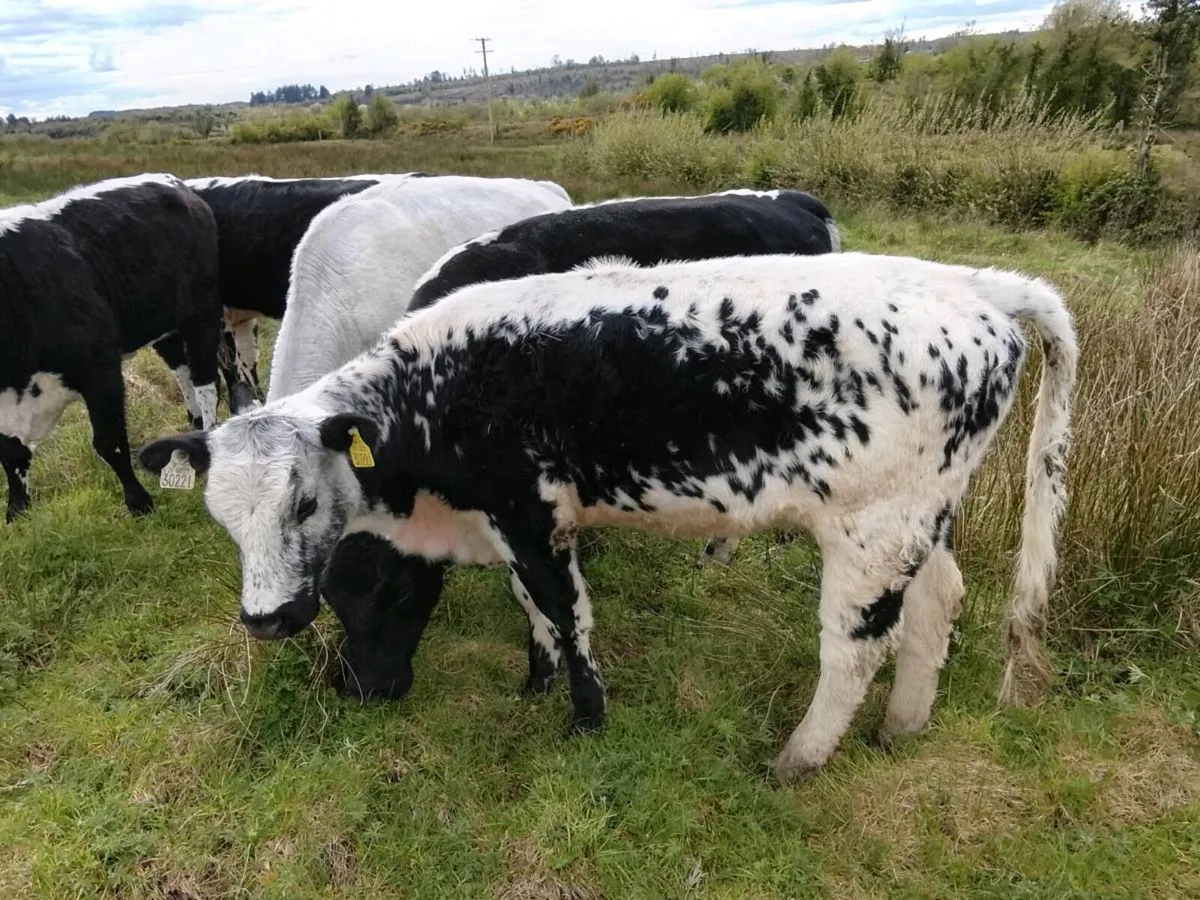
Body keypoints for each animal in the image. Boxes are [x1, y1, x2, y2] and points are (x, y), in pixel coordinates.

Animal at [1, 173, 221, 521]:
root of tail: (173, 181)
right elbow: (11, 455)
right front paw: (17, 513)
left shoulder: (100, 370)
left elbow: (109, 442)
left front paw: (138, 502)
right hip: (165, 328)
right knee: (184, 375)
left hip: (202, 314)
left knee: (206, 384)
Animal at [138, 250, 1077, 779]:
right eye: (225, 523)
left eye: (304, 502)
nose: (267, 620)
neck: (438, 393)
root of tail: (975, 287)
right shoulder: (512, 523)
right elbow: (532, 608)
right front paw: (535, 681)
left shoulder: (529, 513)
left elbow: (566, 611)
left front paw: (584, 718)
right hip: (925, 517)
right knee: (939, 603)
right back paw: (902, 727)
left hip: (871, 530)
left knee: (854, 648)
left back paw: (798, 759)